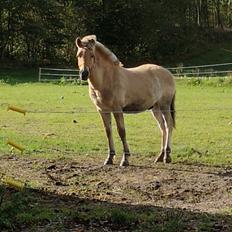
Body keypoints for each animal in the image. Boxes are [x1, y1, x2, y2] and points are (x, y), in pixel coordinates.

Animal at [75, 34, 175, 166]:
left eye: (92, 55)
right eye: (79, 55)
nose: (84, 74)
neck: (107, 79)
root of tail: (168, 73)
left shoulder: (117, 110)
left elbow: (121, 131)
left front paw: (125, 159)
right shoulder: (102, 110)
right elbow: (108, 132)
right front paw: (109, 158)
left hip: (165, 106)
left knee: (168, 125)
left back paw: (167, 157)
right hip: (155, 108)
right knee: (162, 127)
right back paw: (159, 156)